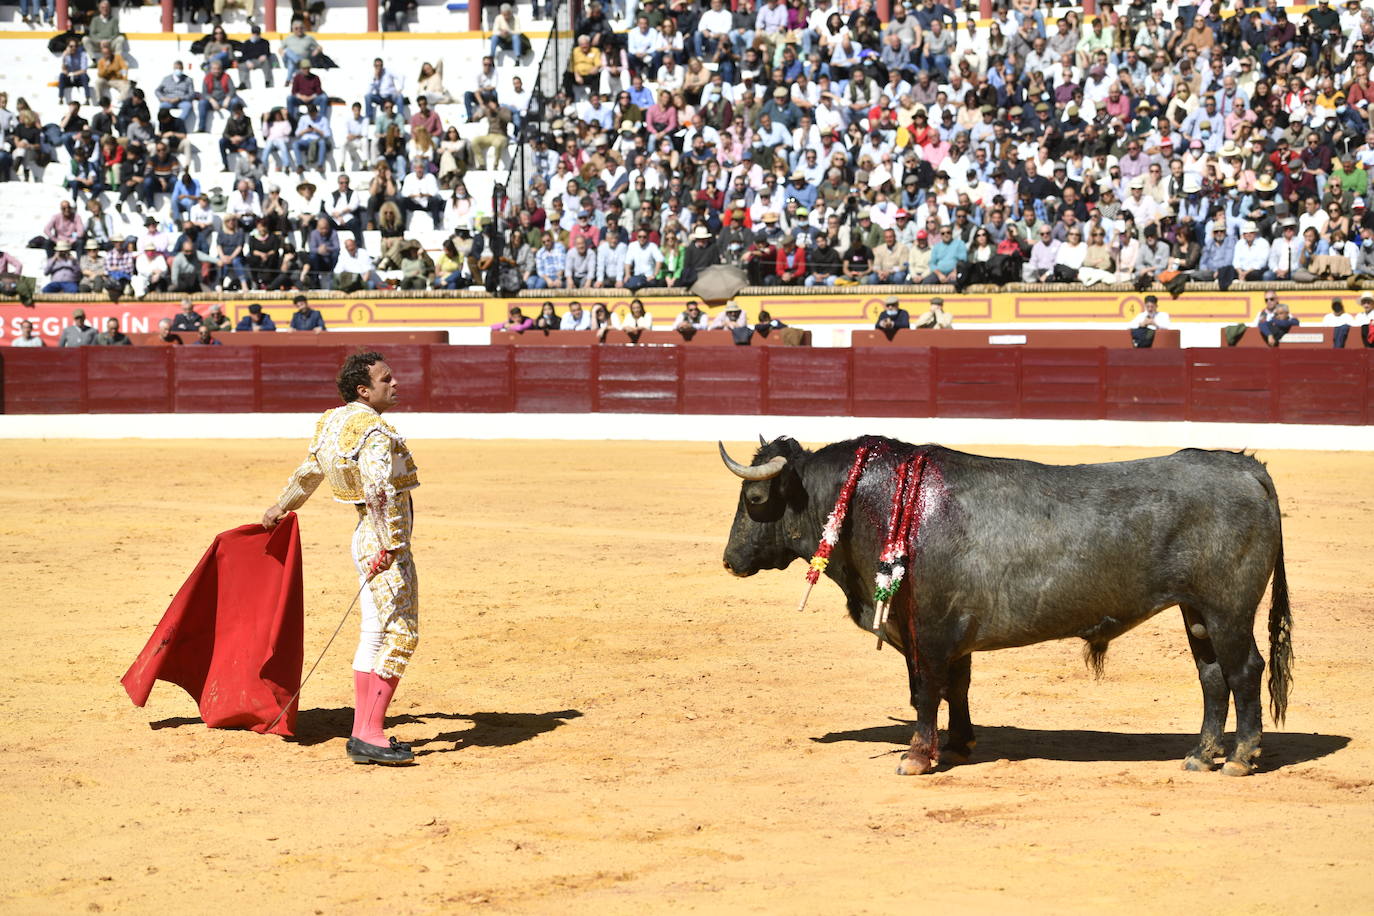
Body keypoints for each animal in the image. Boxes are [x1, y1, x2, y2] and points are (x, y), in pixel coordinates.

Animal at [725, 436, 1291, 774]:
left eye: (754, 501)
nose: (729, 561)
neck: (880, 504)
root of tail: (1246, 467)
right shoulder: (952, 637)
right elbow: (957, 688)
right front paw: (958, 743)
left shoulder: (927, 631)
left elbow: (925, 692)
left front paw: (917, 757)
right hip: (1196, 612)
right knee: (1213, 676)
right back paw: (1200, 755)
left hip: (1228, 609)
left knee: (1244, 670)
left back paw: (1240, 758)